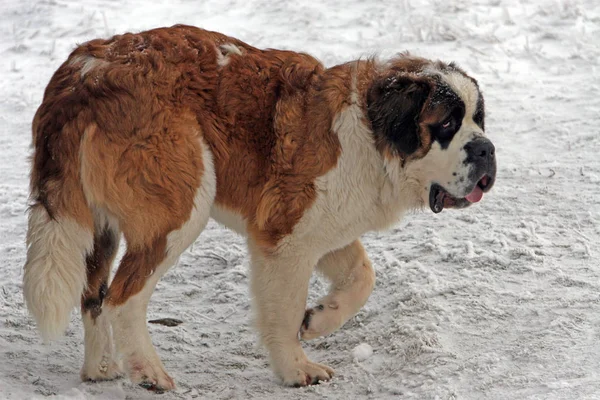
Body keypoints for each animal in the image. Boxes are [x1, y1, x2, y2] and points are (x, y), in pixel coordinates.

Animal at [22, 25, 496, 390]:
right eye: (447, 124)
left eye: (480, 120)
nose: (487, 150)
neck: (370, 136)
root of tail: (84, 73)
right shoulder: (284, 238)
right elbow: (284, 312)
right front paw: (296, 368)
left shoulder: (320, 228)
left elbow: (362, 275)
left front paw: (318, 319)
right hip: (181, 207)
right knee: (123, 296)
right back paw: (149, 372)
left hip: (99, 224)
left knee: (94, 294)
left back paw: (101, 369)